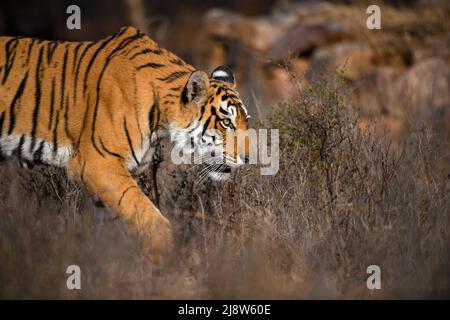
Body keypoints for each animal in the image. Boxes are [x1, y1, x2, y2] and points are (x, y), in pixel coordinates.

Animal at [0, 26, 250, 264]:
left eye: (246, 121)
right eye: (226, 122)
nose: (248, 159)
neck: (161, 119)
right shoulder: (97, 164)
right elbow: (150, 216)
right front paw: (165, 265)